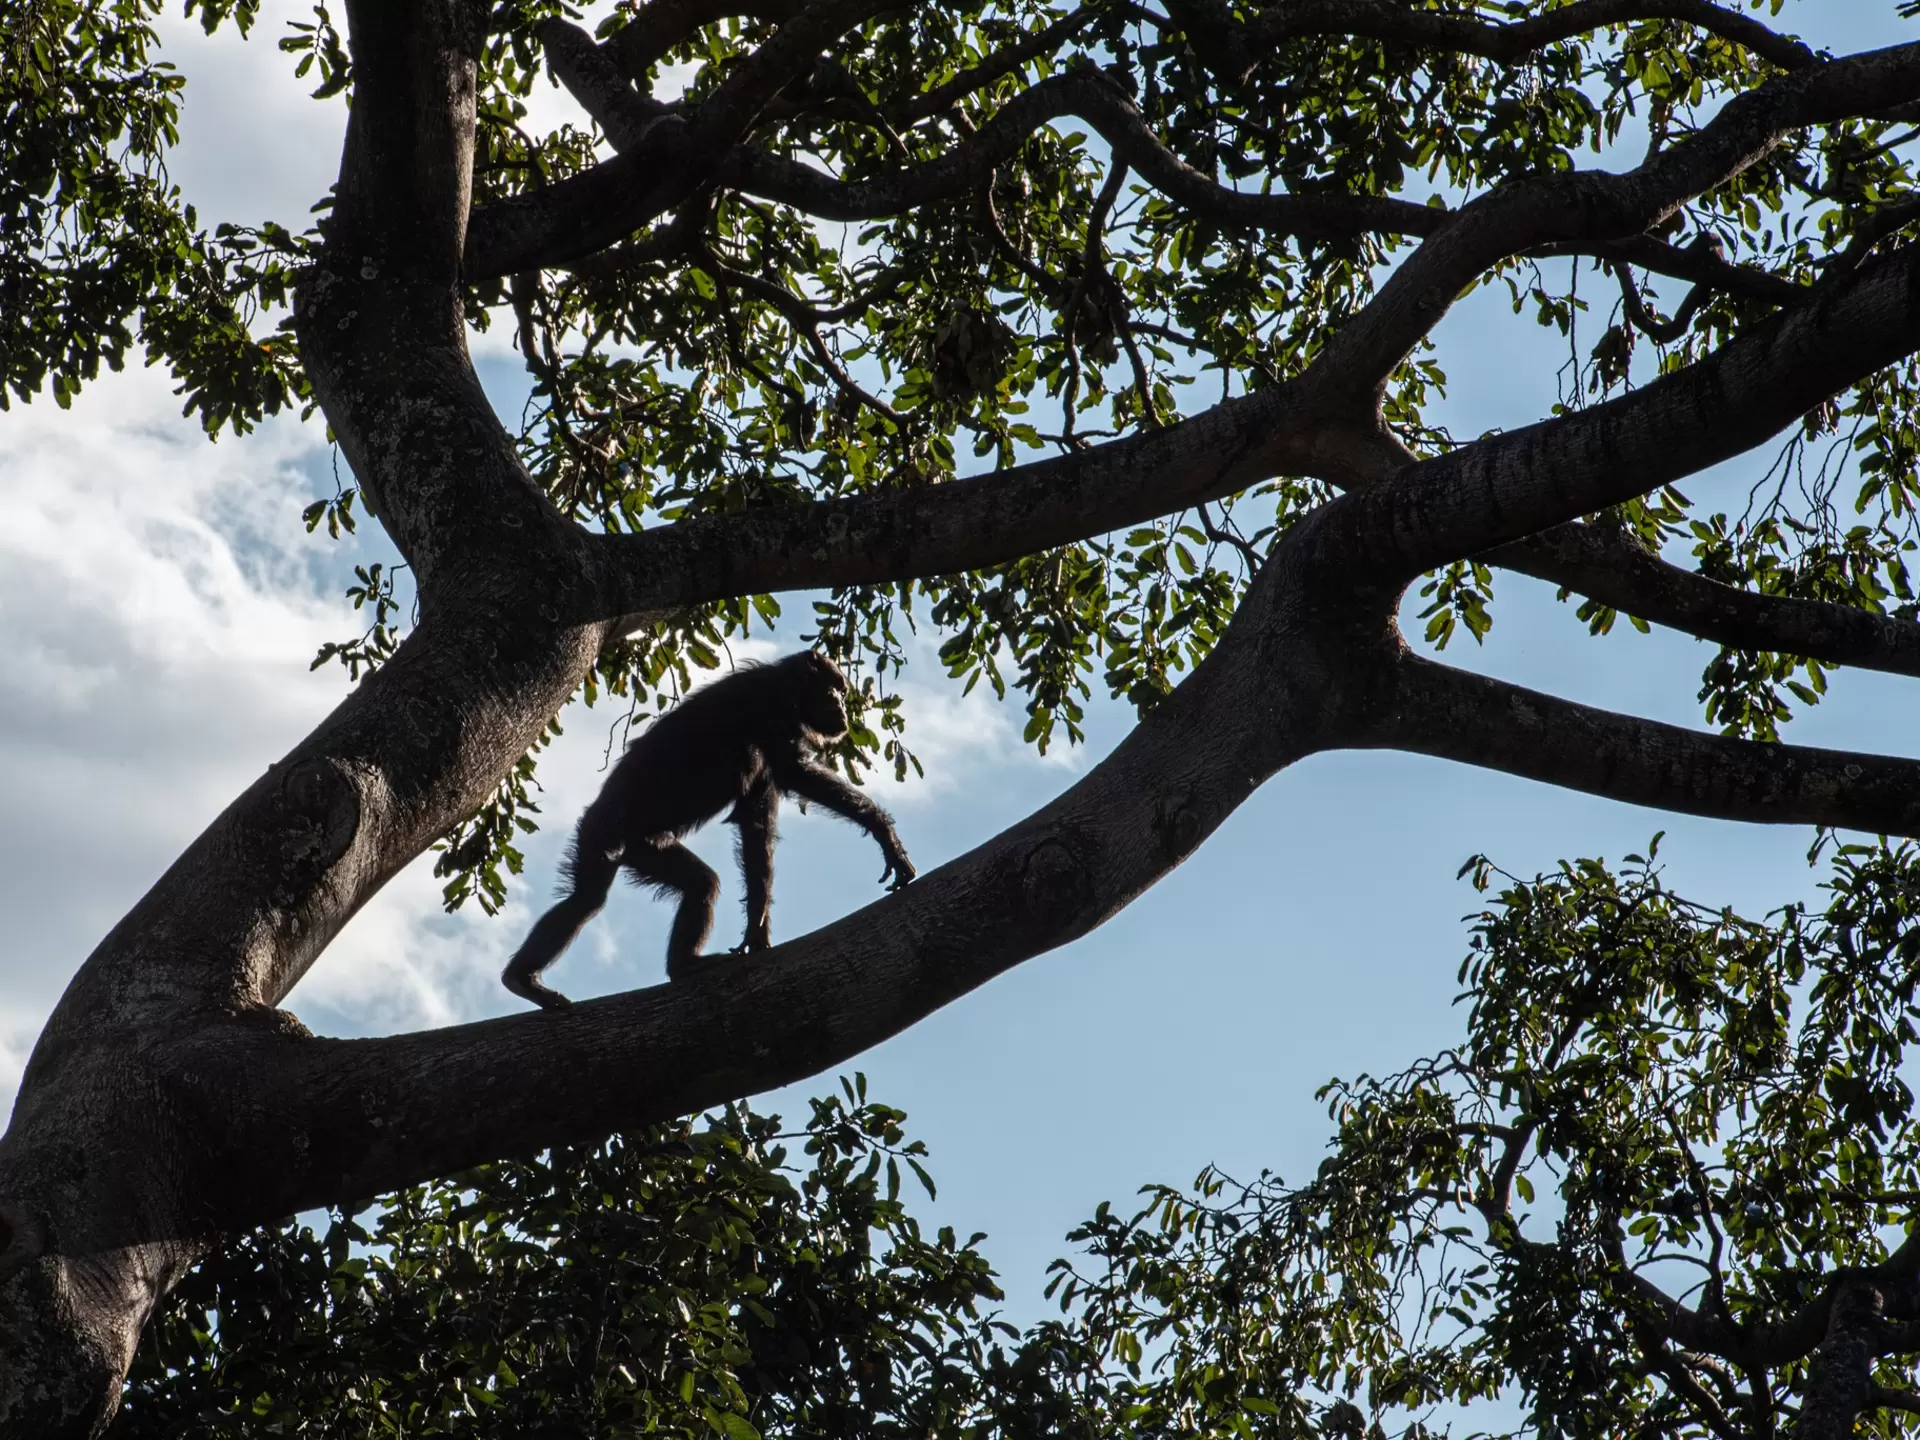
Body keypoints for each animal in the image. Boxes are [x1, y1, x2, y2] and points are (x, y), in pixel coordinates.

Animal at [501, 651, 915, 1010]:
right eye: (836, 689)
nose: (844, 706)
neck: (789, 691)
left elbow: (756, 827)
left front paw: (757, 927)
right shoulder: (771, 713)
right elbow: (795, 775)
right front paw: (885, 833)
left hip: (641, 848)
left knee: (674, 886)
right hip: (601, 834)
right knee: (590, 900)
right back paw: (525, 980)